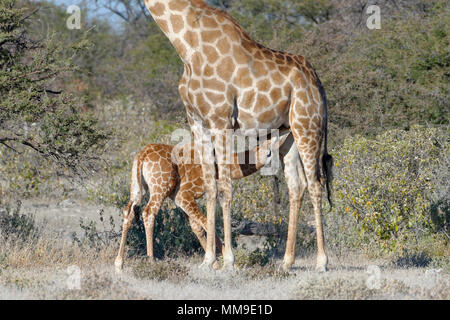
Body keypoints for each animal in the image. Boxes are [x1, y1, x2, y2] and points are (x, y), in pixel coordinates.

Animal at [116, 131, 290, 272]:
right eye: (270, 151)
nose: (277, 167)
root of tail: (142, 156)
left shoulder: (179, 199)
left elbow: (197, 227)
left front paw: (216, 263)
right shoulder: (184, 195)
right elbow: (207, 223)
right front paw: (227, 262)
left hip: (137, 188)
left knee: (128, 212)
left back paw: (119, 263)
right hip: (160, 188)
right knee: (149, 213)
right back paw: (151, 261)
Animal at [142, 0, 332, 272]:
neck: (187, 45)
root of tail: (316, 81)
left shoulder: (221, 120)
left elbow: (225, 188)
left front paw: (229, 259)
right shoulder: (197, 122)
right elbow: (211, 187)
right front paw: (208, 260)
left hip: (308, 125)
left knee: (316, 185)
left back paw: (321, 262)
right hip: (288, 136)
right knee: (297, 186)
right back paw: (287, 262)